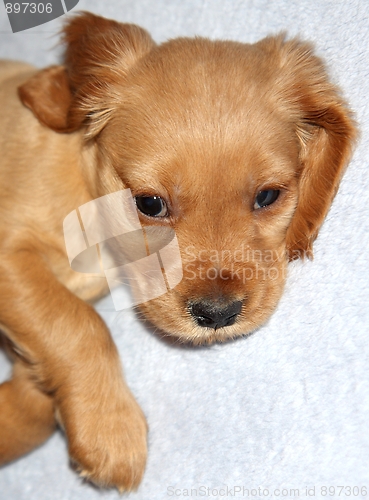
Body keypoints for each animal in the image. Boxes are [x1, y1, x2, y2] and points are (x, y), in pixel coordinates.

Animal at [0, 10, 356, 488]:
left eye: (267, 196)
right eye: (150, 204)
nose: (218, 315)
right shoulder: (11, 256)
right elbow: (75, 322)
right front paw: (110, 428)